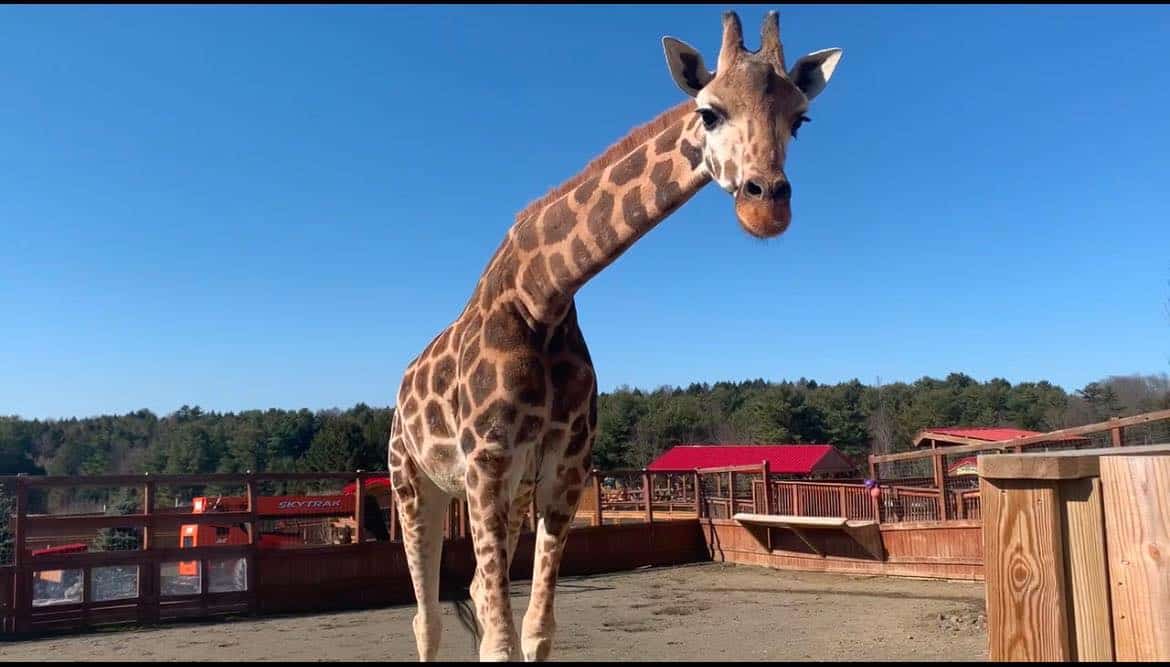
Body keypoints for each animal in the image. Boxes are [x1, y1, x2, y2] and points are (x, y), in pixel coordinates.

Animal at [387, 10, 843, 662]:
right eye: (709, 112)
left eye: (799, 120)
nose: (767, 206)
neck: (542, 296)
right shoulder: (487, 460)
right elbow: (498, 639)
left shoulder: (564, 467)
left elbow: (536, 630)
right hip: (413, 481)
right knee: (426, 616)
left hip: (507, 492)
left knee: (472, 588)